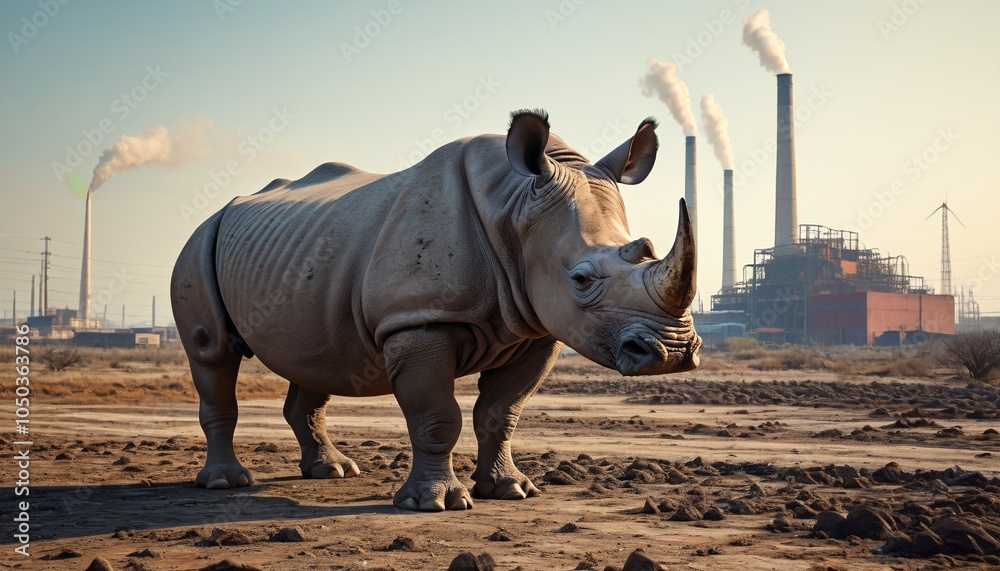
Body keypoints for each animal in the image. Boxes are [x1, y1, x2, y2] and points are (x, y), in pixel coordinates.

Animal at [170, 110, 701, 511]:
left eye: (648, 252)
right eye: (582, 279)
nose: (673, 353)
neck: (513, 208)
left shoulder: (537, 329)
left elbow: (502, 412)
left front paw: (510, 490)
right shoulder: (417, 321)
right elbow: (436, 416)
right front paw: (437, 503)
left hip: (301, 254)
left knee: (312, 356)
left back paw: (332, 471)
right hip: (199, 241)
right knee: (212, 353)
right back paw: (226, 482)